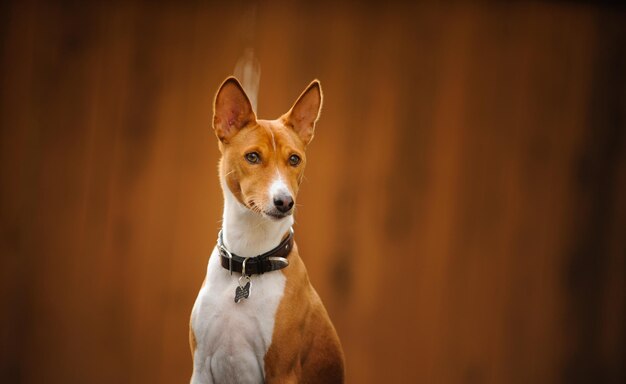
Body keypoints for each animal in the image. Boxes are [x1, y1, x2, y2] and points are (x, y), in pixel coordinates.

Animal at [190, 76, 346, 382]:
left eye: (294, 159)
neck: (247, 262)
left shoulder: (282, 371)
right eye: (252, 157)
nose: (284, 202)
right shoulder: (200, 368)